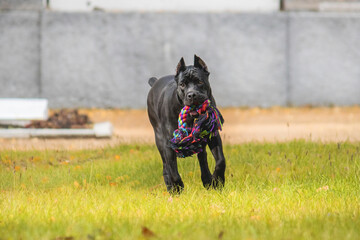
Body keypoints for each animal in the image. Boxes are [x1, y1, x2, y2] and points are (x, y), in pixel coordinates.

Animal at [146, 54, 225, 193]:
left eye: (199, 82)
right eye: (182, 84)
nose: (191, 94)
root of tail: (154, 82)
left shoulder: (213, 135)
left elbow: (220, 160)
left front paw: (218, 180)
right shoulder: (169, 142)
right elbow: (173, 170)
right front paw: (178, 187)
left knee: (202, 158)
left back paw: (207, 180)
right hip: (159, 139)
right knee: (166, 166)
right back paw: (171, 187)